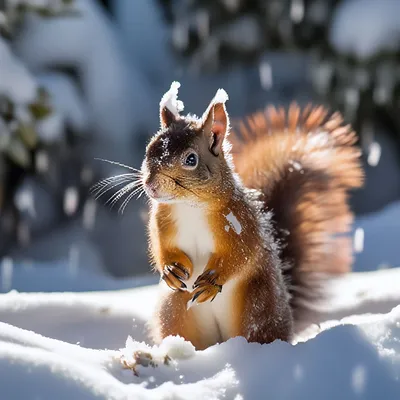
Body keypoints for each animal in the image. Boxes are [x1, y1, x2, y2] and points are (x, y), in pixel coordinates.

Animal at [138, 82, 366, 350]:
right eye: (149, 149)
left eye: (190, 159)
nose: (150, 185)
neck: (189, 206)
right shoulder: (162, 222)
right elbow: (161, 246)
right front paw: (170, 269)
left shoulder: (241, 222)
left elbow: (241, 253)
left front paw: (211, 282)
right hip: (176, 312)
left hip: (257, 306)